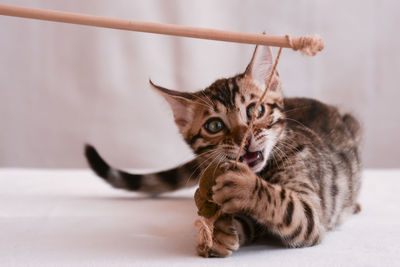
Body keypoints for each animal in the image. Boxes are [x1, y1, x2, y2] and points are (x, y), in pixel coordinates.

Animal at [85, 45, 362, 258]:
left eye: (256, 110)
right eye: (215, 126)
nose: (244, 138)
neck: (261, 172)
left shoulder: (312, 213)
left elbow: (286, 205)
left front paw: (245, 187)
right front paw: (218, 234)